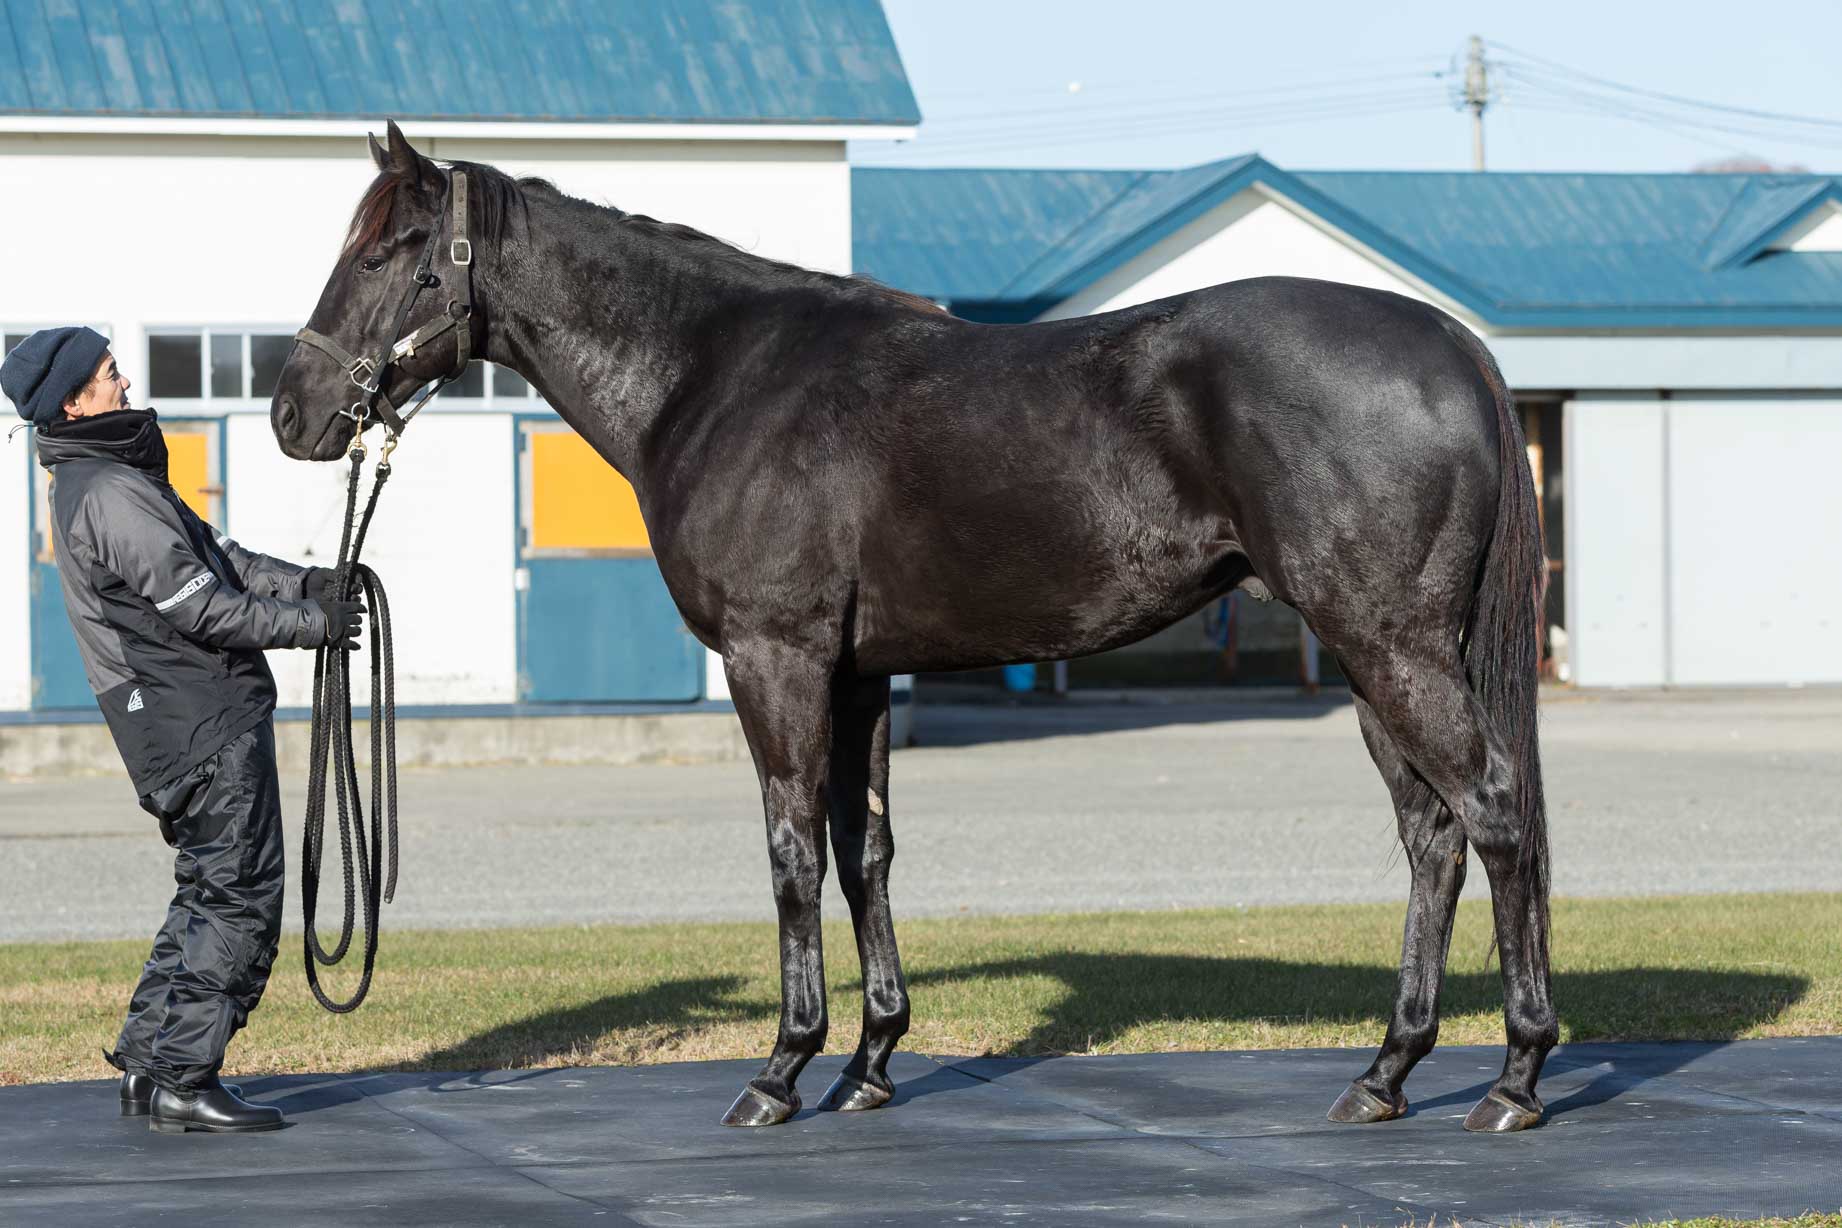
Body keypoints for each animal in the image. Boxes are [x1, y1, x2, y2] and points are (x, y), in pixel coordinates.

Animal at [272, 121, 1554, 1133]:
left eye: (386, 251)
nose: (293, 411)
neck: (716, 377)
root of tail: (1453, 345)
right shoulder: (856, 676)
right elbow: (864, 851)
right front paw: (871, 1062)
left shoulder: (777, 661)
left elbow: (792, 853)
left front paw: (782, 1069)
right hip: (1372, 661)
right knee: (1433, 837)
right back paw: (1387, 1072)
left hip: (1388, 647)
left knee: (1492, 809)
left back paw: (1516, 1075)